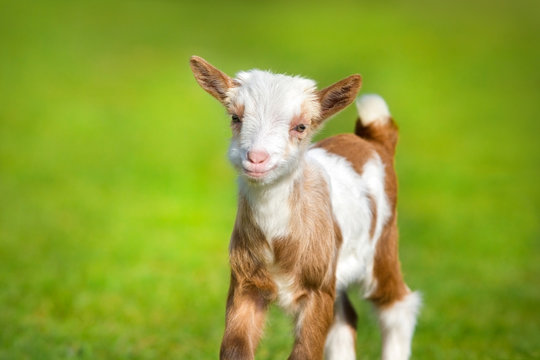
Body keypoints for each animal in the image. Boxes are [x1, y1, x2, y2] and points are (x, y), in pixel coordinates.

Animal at [190, 56, 422, 360]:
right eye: (235, 117)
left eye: (300, 127)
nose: (256, 158)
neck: (277, 241)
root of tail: (372, 139)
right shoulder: (245, 281)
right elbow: (235, 349)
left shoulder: (317, 288)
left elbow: (307, 352)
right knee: (344, 321)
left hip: (382, 243)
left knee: (397, 306)